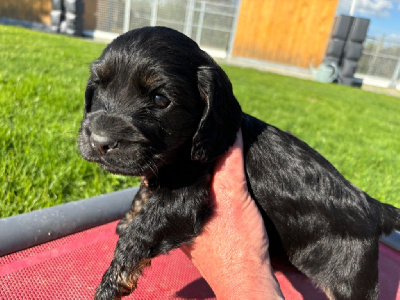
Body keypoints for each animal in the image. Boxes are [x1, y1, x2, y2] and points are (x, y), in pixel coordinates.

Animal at [79, 27, 400, 298]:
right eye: (98, 87)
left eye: (160, 99)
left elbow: (142, 231)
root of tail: (374, 208)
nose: (99, 140)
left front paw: (110, 283)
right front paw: (128, 217)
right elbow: (141, 200)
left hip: (350, 277)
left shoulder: (186, 195)